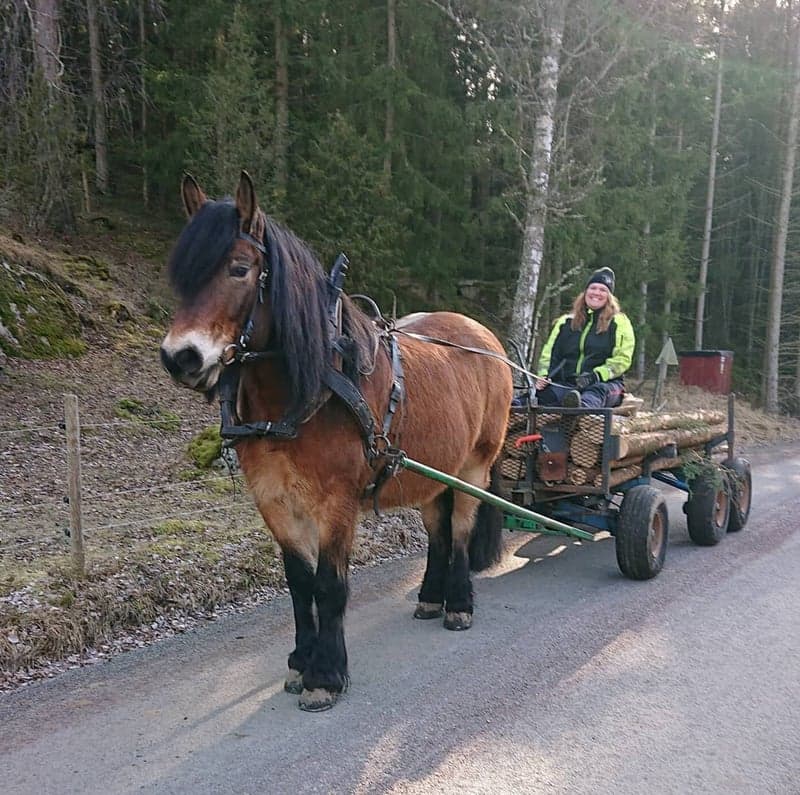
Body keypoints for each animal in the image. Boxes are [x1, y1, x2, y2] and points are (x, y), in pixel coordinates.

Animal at [161, 173, 512, 708]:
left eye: (239, 269)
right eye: (182, 274)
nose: (179, 357)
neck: (309, 391)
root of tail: (486, 338)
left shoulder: (336, 503)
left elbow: (329, 586)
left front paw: (325, 673)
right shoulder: (275, 501)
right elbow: (298, 584)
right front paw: (300, 661)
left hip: (474, 466)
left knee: (460, 530)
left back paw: (458, 603)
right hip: (431, 469)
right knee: (437, 529)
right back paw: (432, 597)